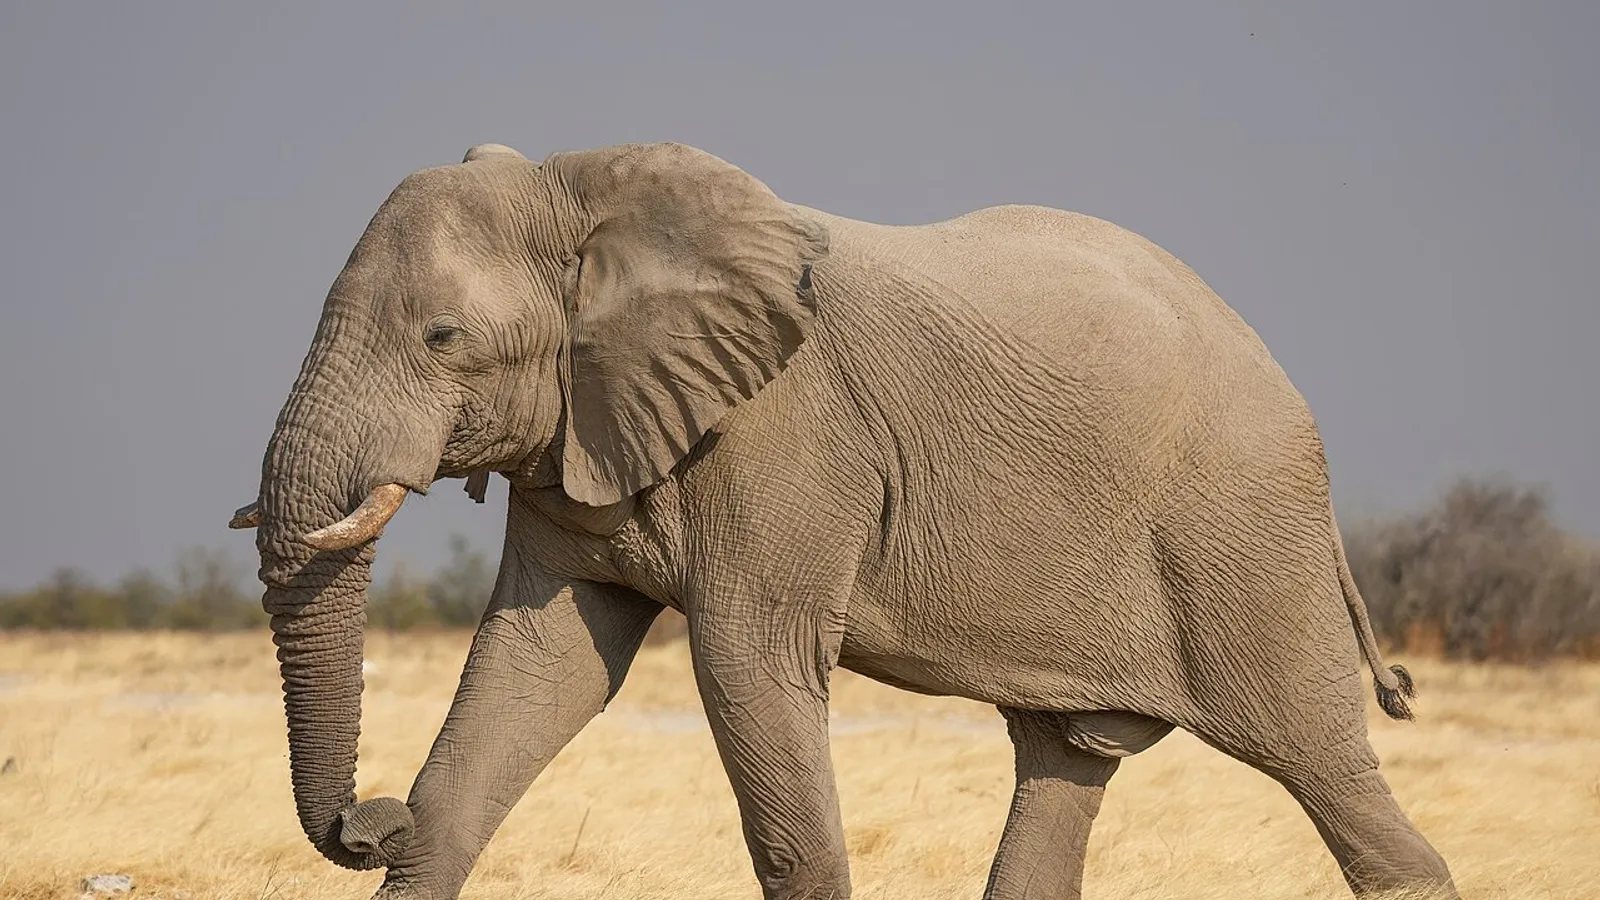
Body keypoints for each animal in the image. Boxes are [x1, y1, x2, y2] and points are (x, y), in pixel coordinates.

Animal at [228, 140, 1458, 900]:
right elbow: (535, 669)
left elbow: (747, 671)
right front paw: (421, 820)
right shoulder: (580, 433)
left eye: (441, 338)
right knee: (1064, 765)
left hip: (1244, 534)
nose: (366, 820)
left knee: (1324, 768)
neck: (586, 189)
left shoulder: (786, 441)